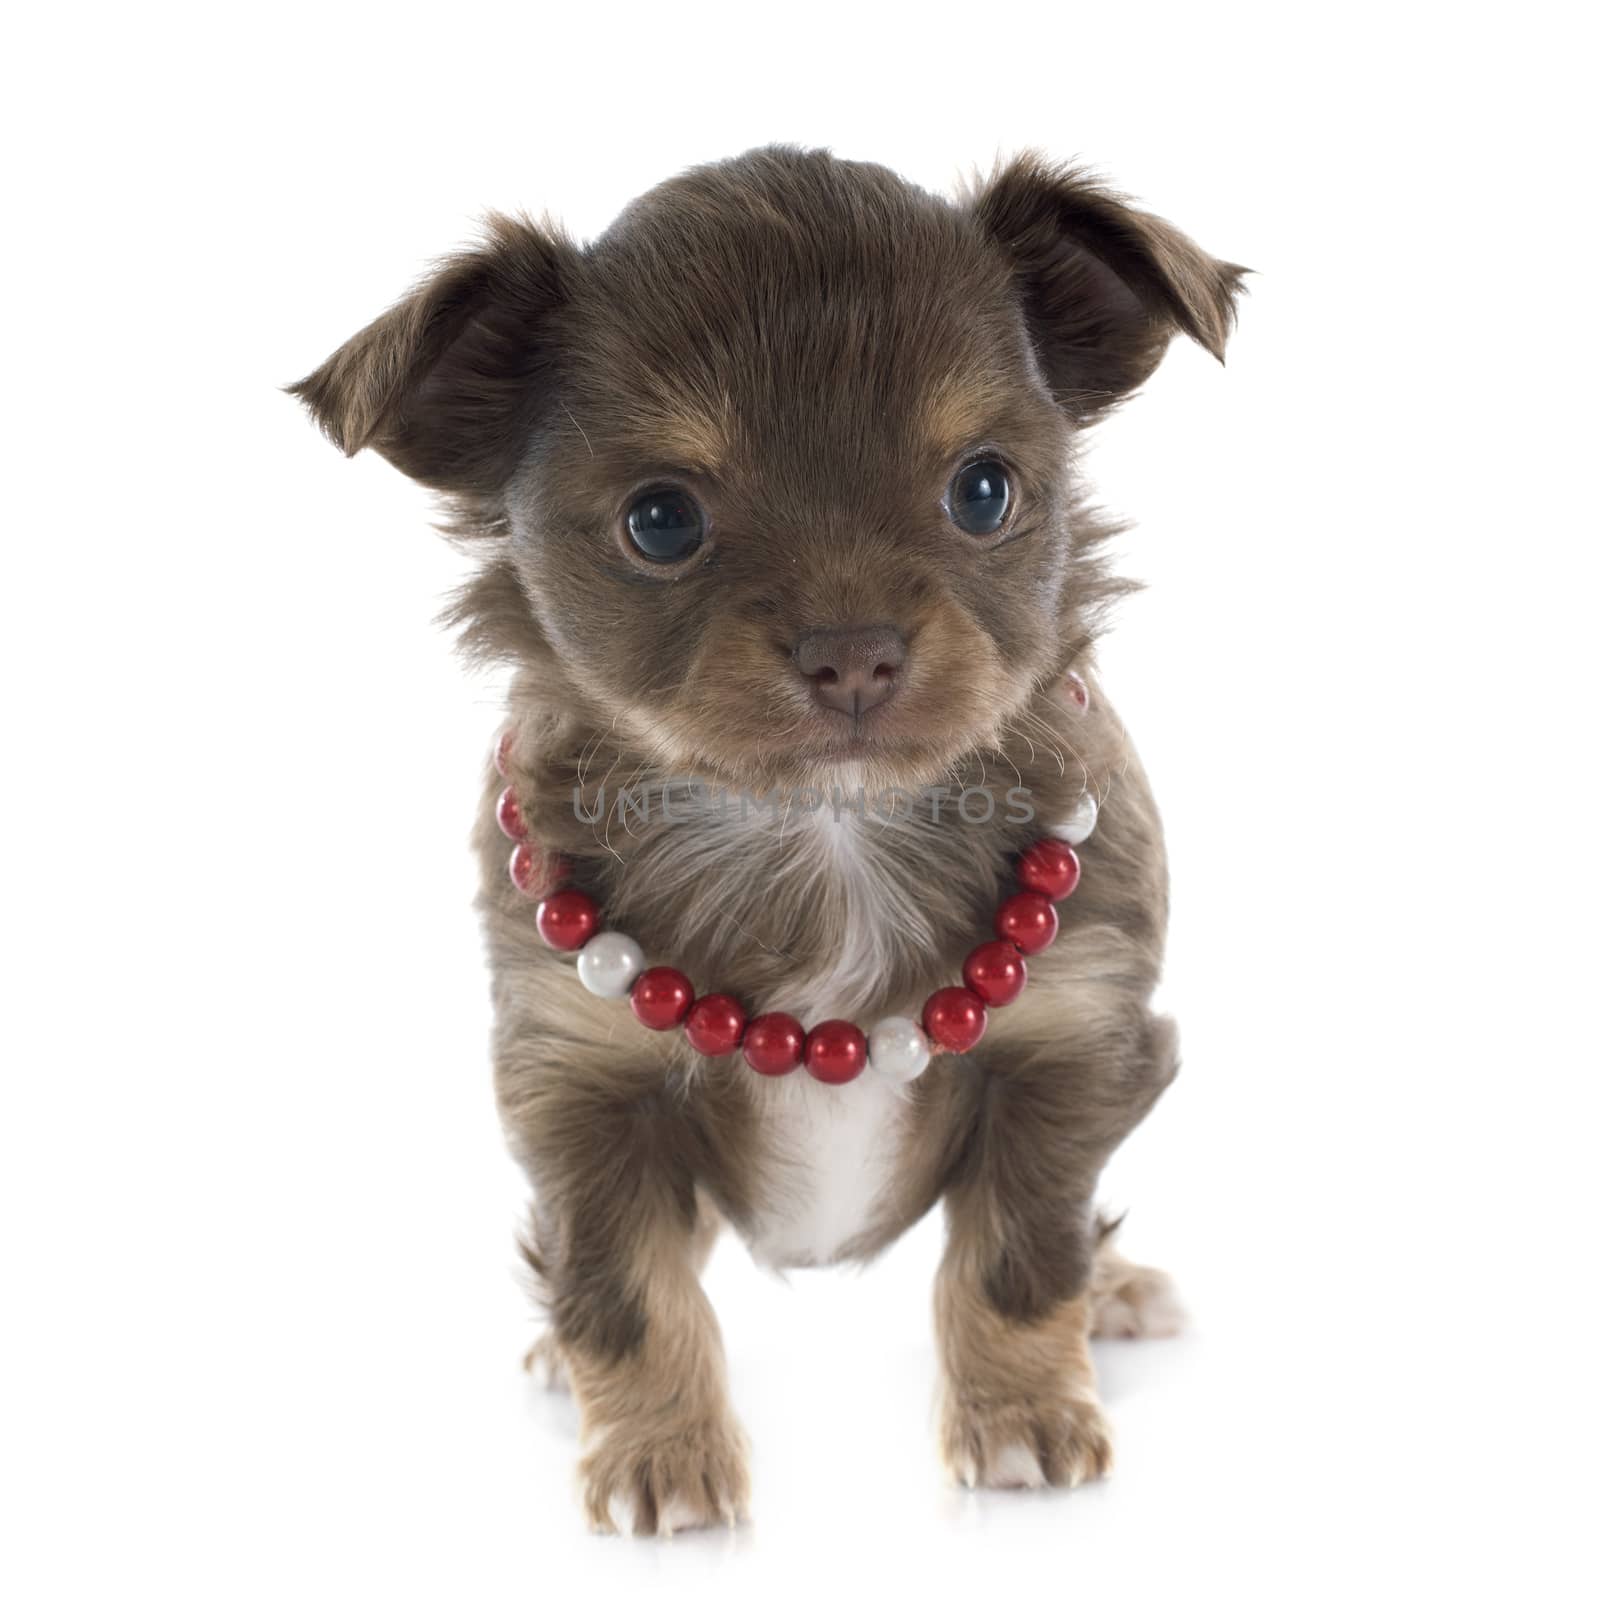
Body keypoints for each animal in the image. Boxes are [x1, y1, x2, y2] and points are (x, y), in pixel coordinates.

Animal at [291, 150, 1235, 1536]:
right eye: (661, 521)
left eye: (984, 490)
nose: (853, 652)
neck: (824, 833)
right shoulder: (577, 1082)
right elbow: (625, 1288)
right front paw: (659, 1455)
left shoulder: (1072, 1041)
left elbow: (1018, 1255)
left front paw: (1021, 1417)